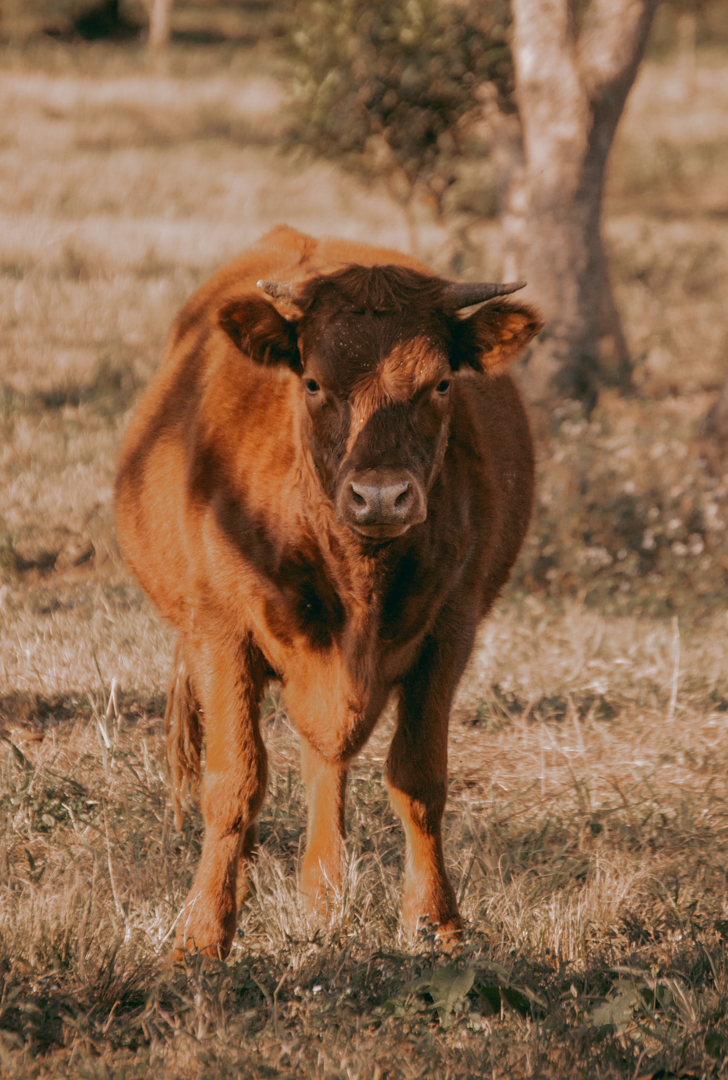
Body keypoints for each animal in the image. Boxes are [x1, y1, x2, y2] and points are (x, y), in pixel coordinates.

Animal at [115, 225, 542, 959]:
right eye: (314, 382)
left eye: (441, 382)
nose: (381, 496)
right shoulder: (219, 632)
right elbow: (234, 781)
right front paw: (202, 934)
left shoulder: (451, 632)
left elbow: (418, 779)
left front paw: (439, 924)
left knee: (326, 760)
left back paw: (323, 894)